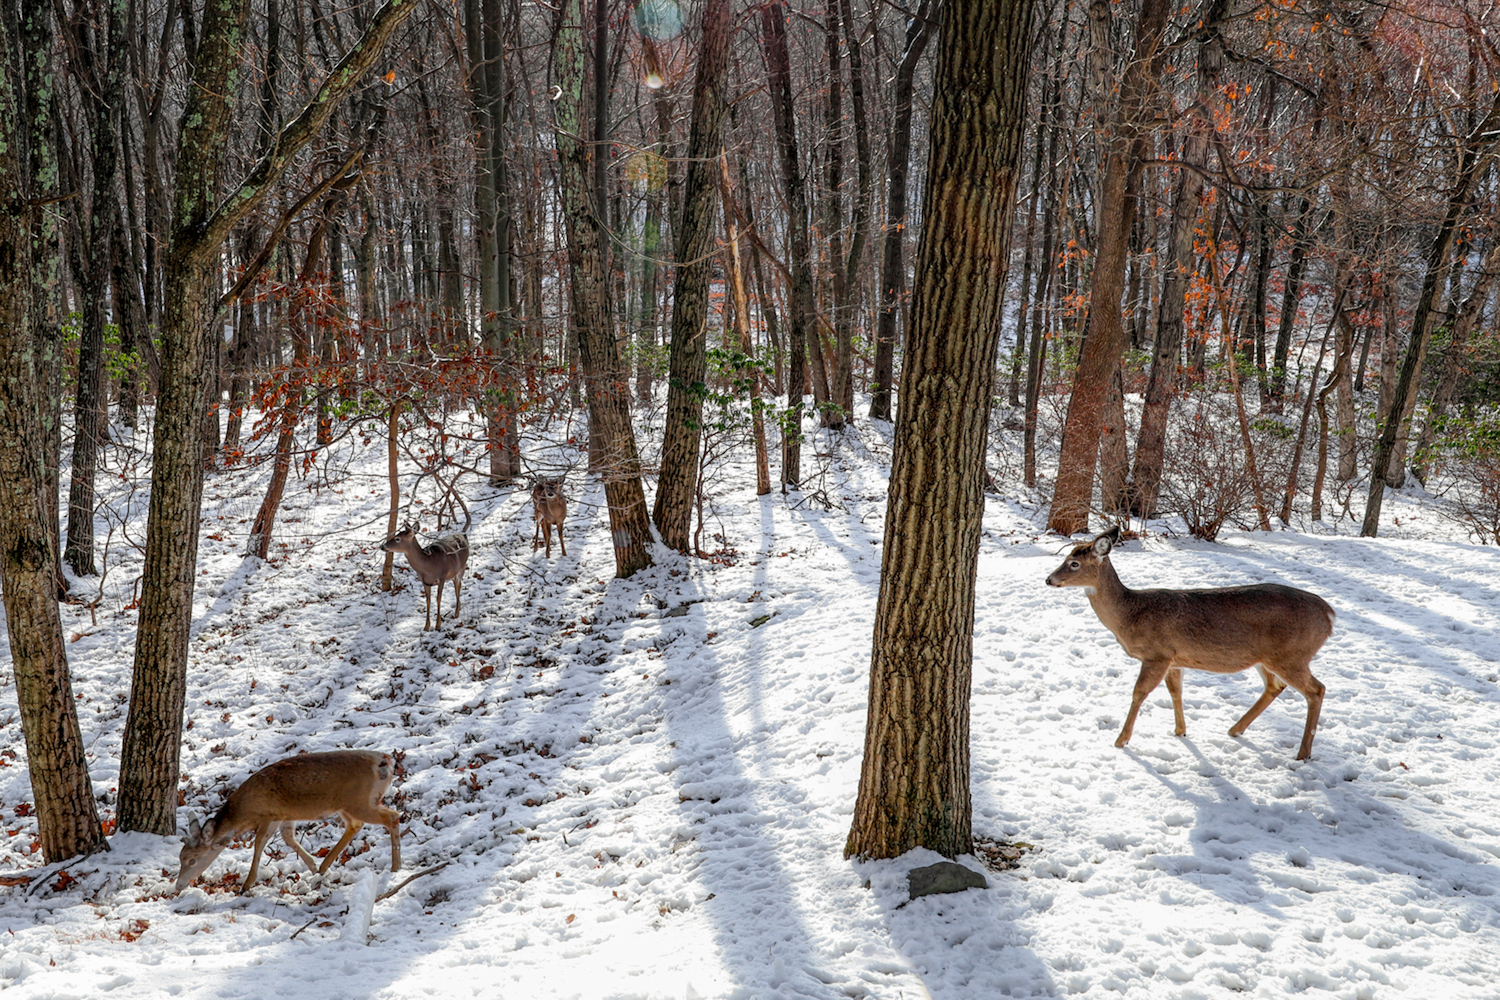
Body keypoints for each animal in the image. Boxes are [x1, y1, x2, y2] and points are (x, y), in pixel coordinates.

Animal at [175, 750, 401, 894]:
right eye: (180, 856)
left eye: (192, 860)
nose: (178, 885)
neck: (244, 812)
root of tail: (385, 761)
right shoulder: (285, 815)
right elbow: (288, 839)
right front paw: (312, 866)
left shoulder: (268, 814)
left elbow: (259, 844)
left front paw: (246, 885)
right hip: (349, 804)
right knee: (356, 824)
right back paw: (324, 866)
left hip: (358, 800)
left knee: (392, 816)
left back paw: (396, 866)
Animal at [1046, 527, 1334, 760]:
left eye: (1073, 563)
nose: (1049, 579)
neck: (1131, 615)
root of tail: (1329, 614)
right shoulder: (1175, 658)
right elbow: (1176, 691)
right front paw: (1180, 731)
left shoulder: (1157, 654)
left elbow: (1139, 692)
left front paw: (1121, 740)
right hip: (1267, 657)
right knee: (1276, 686)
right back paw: (1235, 729)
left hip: (1292, 654)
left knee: (1316, 690)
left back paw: (1302, 754)